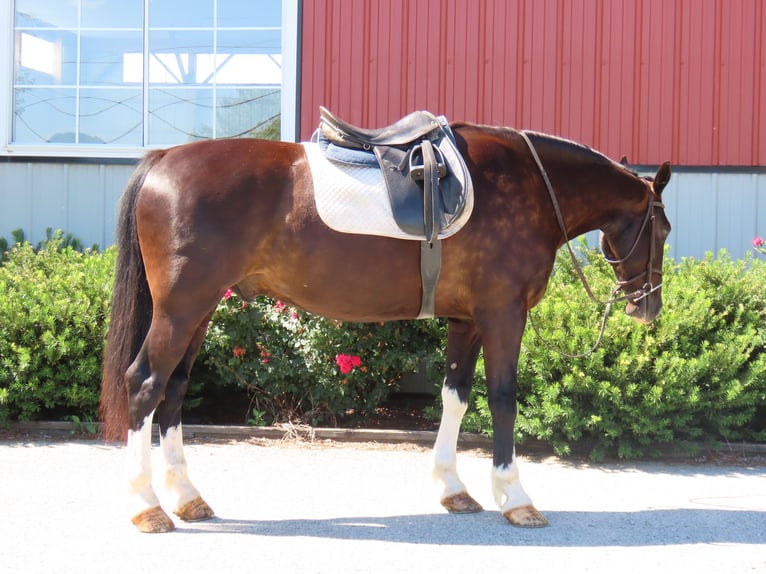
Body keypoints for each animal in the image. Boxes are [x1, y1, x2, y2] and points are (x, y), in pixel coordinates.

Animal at [100, 120, 672, 533]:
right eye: (663, 228)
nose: (647, 307)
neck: (529, 186)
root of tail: (164, 160)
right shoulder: (504, 313)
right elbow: (503, 398)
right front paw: (514, 496)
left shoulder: (467, 320)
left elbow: (456, 397)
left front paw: (453, 489)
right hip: (181, 309)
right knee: (144, 384)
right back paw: (147, 506)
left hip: (199, 311)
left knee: (174, 389)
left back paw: (187, 499)